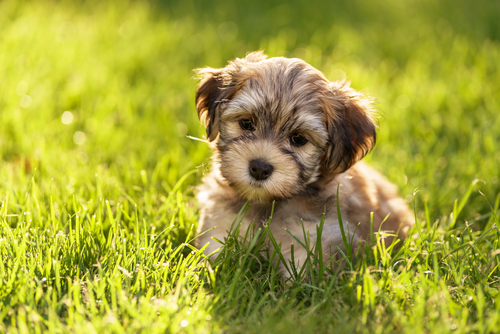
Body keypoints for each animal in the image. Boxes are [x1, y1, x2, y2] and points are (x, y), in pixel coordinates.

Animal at [194, 51, 414, 276]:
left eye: (298, 138)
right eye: (246, 123)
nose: (260, 169)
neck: (268, 203)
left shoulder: (315, 238)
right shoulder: (221, 221)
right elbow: (214, 254)